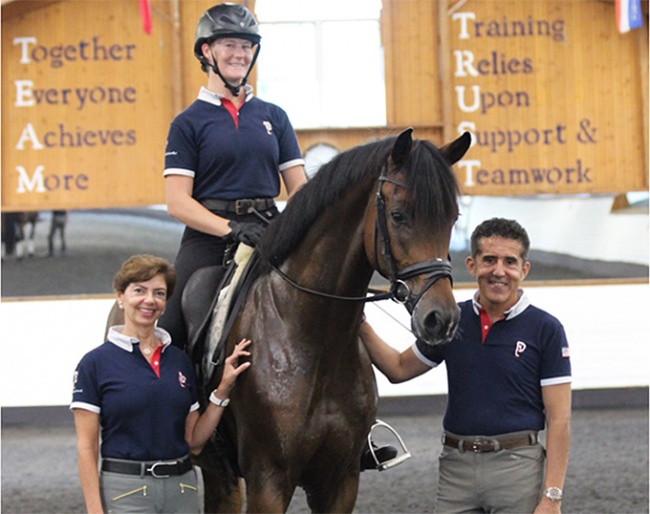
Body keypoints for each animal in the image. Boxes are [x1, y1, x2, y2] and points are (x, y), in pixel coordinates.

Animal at [201, 129, 466, 512]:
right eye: (398, 216)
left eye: (453, 218)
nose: (441, 319)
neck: (316, 340)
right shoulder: (268, 480)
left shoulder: (340, 480)